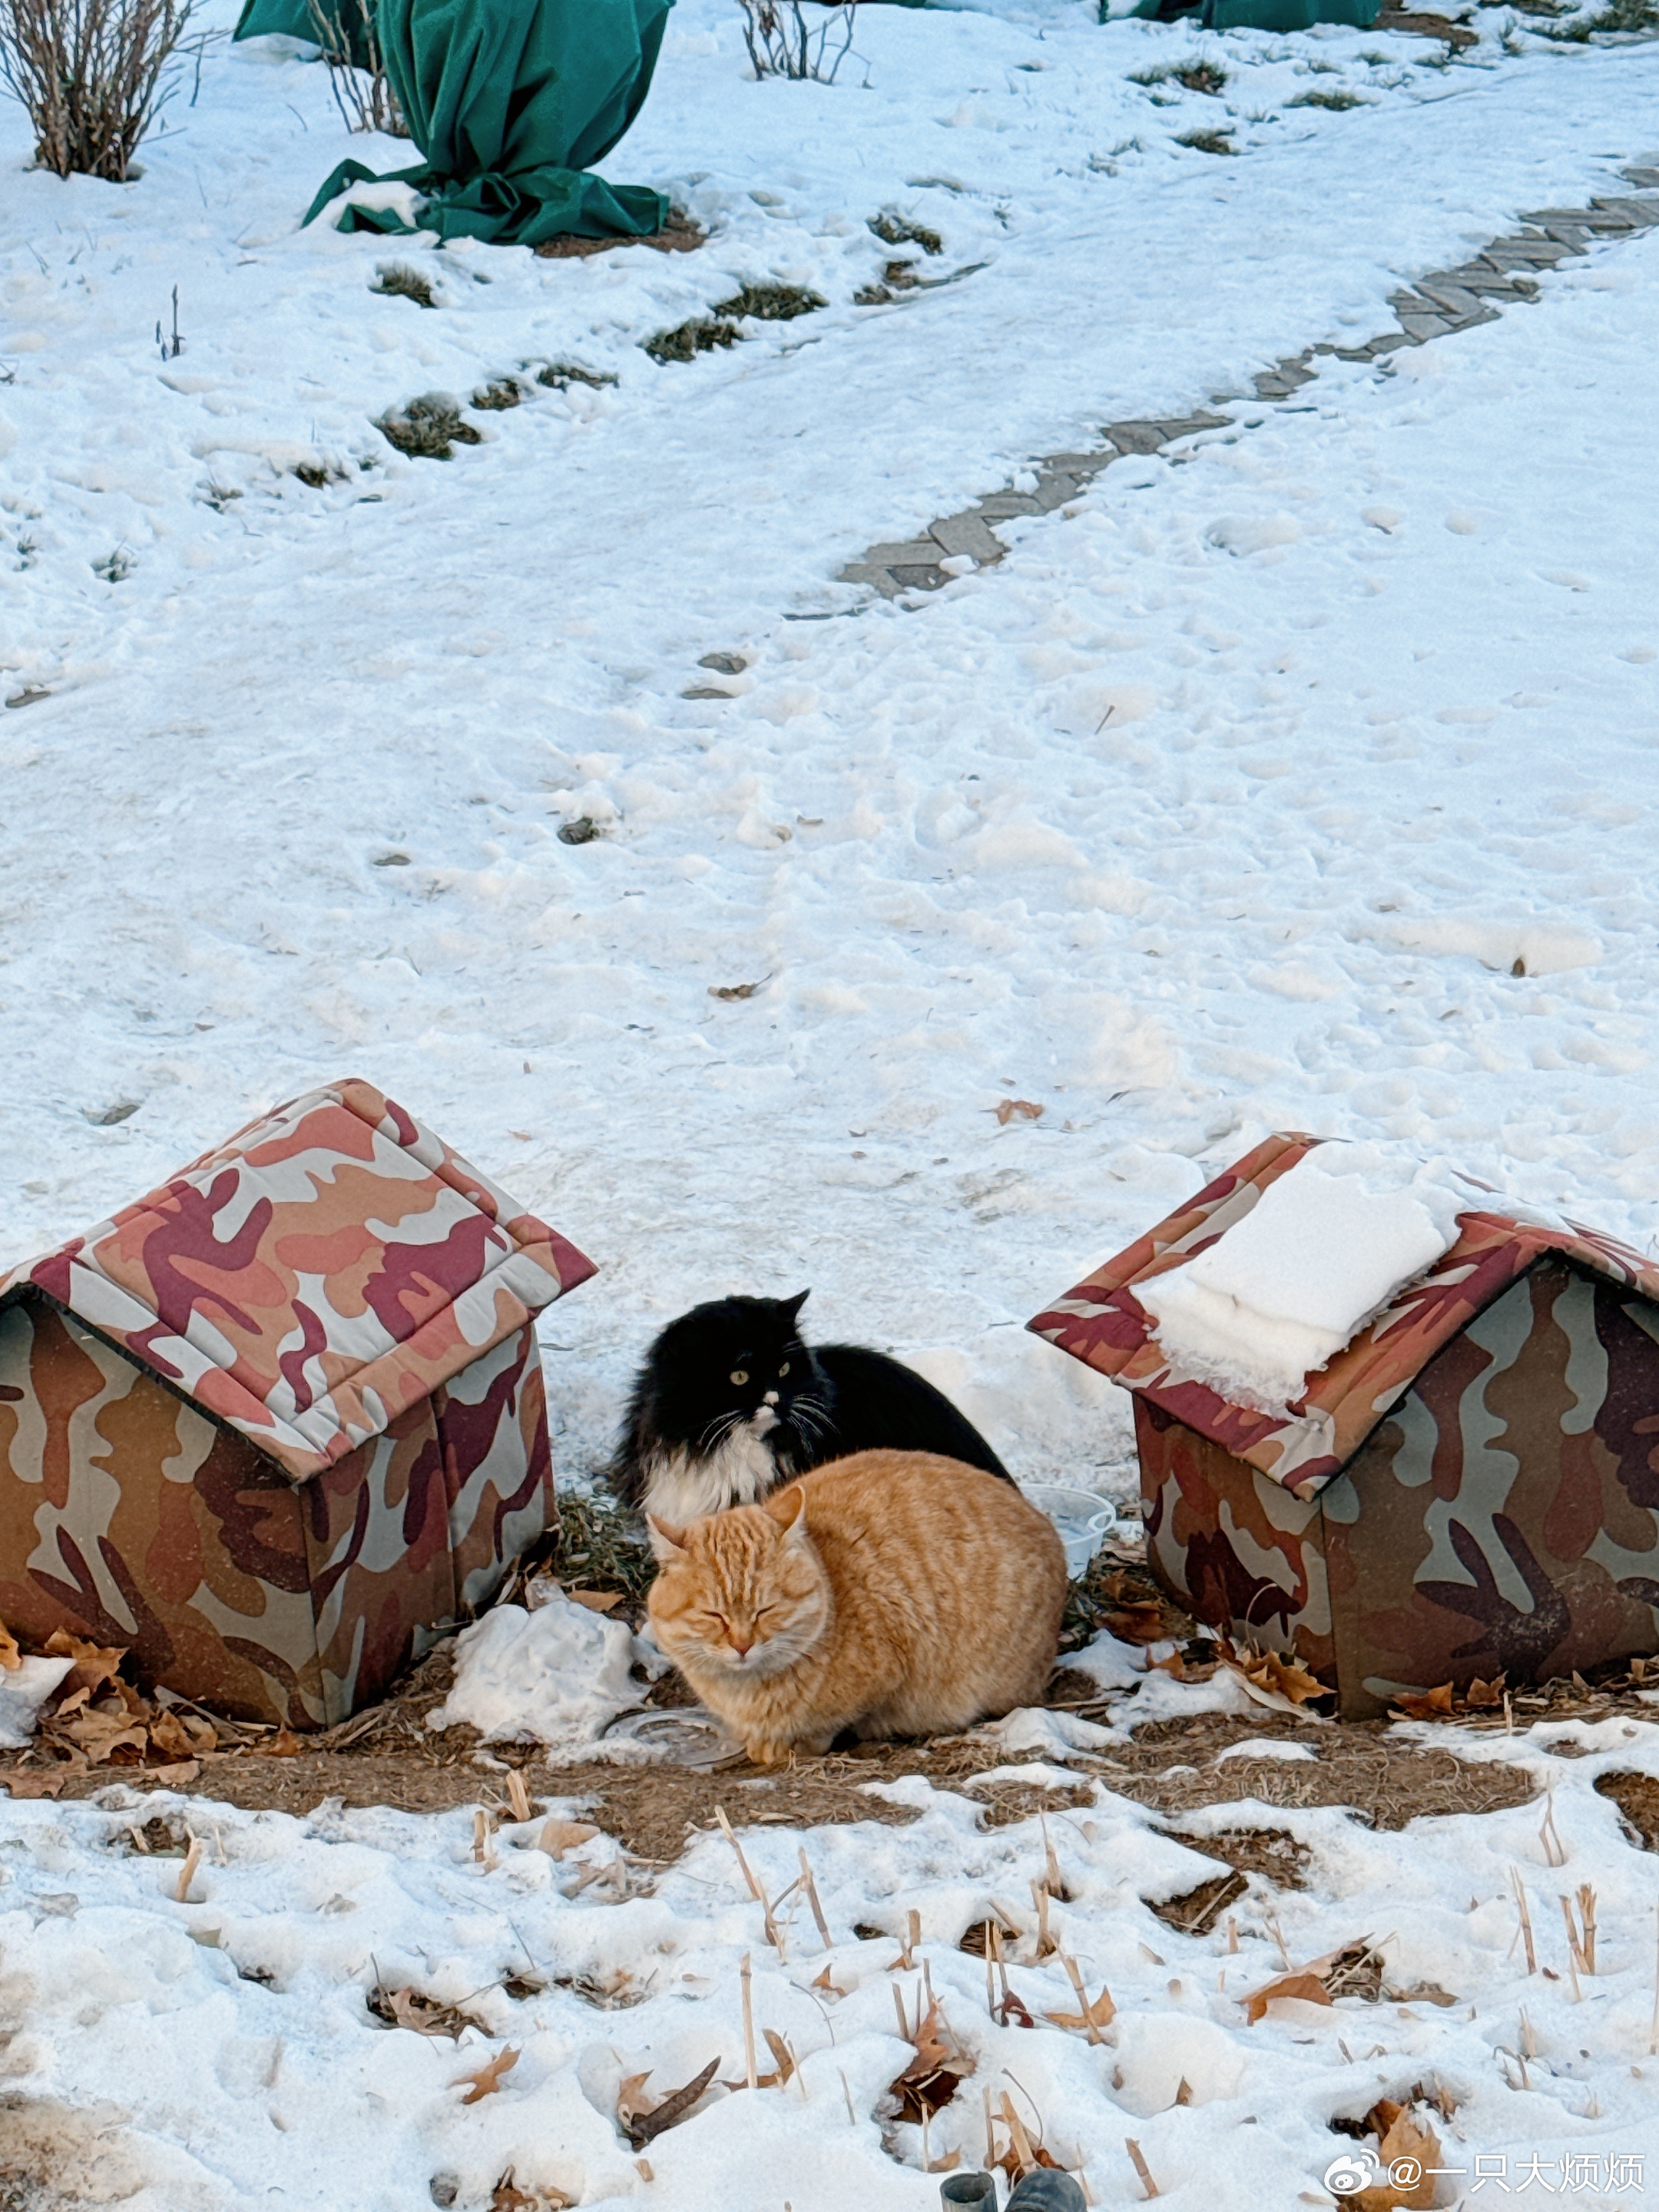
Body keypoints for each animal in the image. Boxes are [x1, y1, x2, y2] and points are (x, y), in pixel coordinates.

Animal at [641, 1451, 1070, 1760]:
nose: (742, 1646)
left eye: (766, 1610)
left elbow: (827, 1724)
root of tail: (1046, 1526)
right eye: (713, 1615)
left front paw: (787, 1746)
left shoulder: (887, 1674)